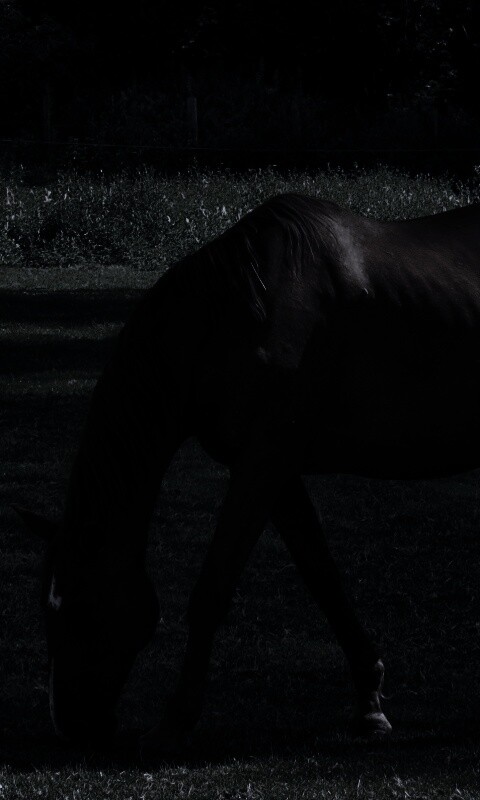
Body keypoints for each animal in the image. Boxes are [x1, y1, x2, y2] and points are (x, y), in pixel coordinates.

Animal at [16, 192, 480, 750]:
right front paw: (369, 703)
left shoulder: (264, 462)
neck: (232, 314)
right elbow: (324, 579)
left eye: (84, 608)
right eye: (46, 607)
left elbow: (213, 587)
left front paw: (175, 720)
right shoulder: (272, 469)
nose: (71, 725)